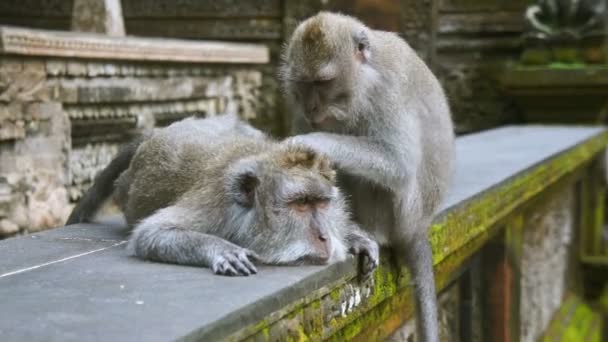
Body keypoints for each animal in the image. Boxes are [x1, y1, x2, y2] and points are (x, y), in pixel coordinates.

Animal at [67, 115, 380, 278]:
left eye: (321, 203)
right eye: (301, 204)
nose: (324, 237)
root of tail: (155, 133)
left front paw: (354, 236)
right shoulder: (217, 204)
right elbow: (151, 233)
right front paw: (222, 250)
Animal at [280, 12, 452, 340]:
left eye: (323, 82)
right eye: (304, 84)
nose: (311, 107)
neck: (364, 79)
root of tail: (419, 226)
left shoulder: (388, 91)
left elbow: (398, 162)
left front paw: (312, 142)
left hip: (401, 214)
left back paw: (367, 233)